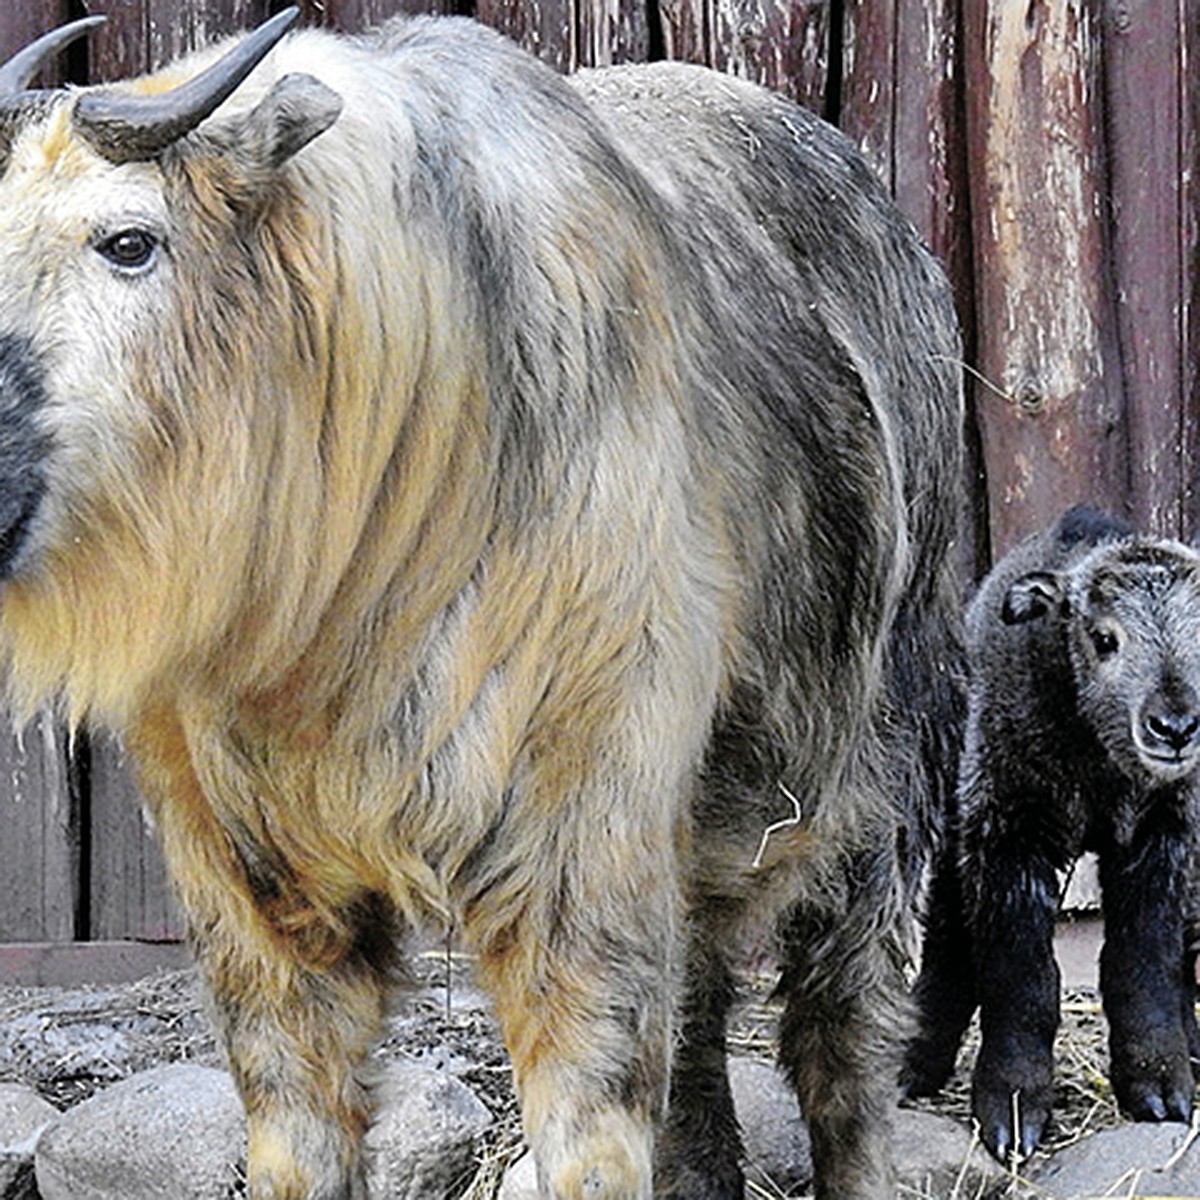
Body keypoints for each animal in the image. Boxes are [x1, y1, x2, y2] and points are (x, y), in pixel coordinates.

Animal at [0, 11, 960, 1200]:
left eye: (128, 241)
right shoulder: (243, 870)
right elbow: (294, 1125)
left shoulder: (579, 831)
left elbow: (590, 1126)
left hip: (876, 771)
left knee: (846, 1031)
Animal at [902, 506, 1200, 1161]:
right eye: (1103, 638)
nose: (1175, 727)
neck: (1102, 764)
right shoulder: (1006, 831)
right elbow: (1022, 977)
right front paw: (1013, 1110)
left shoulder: (1165, 835)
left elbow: (1144, 962)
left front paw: (1160, 1086)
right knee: (948, 936)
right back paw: (913, 1059)